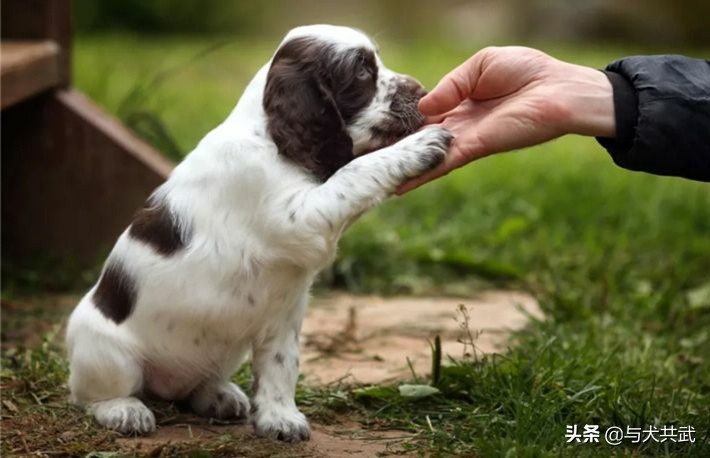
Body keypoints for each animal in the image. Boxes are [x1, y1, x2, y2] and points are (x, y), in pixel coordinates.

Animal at [68, 24, 456, 440]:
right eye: (362, 71)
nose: (423, 91)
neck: (270, 137)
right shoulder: (298, 218)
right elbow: (354, 173)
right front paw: (418, 147)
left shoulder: (285, 312)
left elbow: (281, 365)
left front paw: (279, 418)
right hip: (108, 353)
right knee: (95, 394)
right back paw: (124, 410)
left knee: (196, 386)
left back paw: (219, 396)